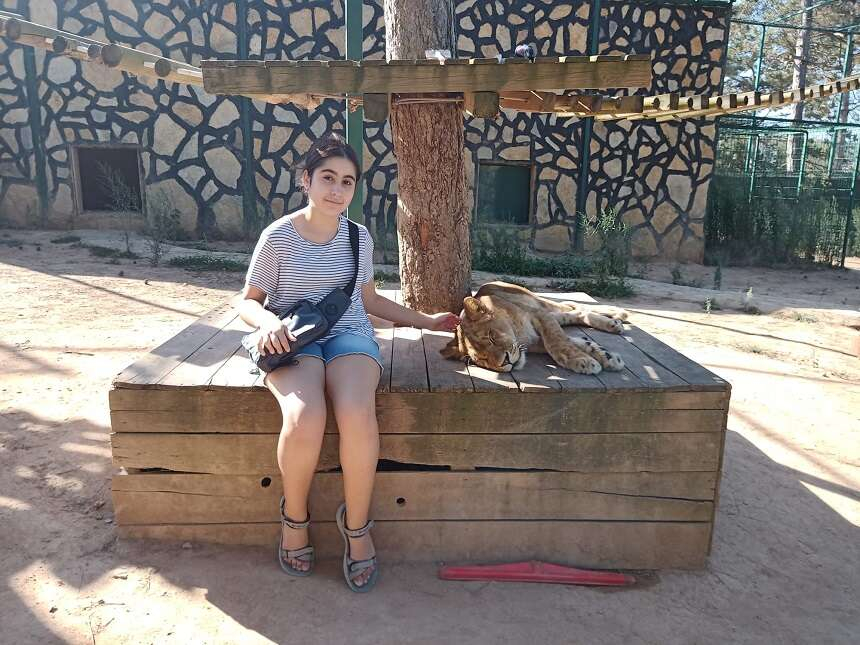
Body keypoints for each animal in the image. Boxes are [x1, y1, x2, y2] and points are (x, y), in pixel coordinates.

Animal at [440, 281, 629, 375]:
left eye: (491, 337)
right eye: (482, 359)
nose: (506, 362)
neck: (519, 336)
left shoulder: (538, 314)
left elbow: (557, 342)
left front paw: (584, 361)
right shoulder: (536, 338)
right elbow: (569, 342)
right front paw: (606, 356)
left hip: (535, 300)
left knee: (572, 305)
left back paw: (618, 315)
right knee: (576, 311)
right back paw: (614, 322)